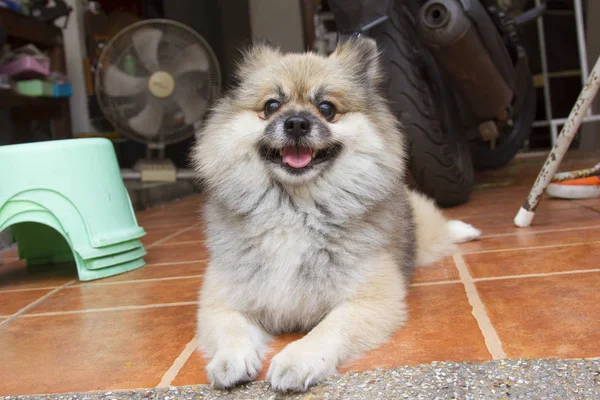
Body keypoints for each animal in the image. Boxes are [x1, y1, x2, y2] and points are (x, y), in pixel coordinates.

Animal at [195, 36, 480, 392]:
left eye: (327, 108)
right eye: (271, 106)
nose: (297, 123)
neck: (295, 209)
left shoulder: (369, 301)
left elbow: (329, 329)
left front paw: (298, 359)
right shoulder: (221, 302)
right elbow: (231, 329)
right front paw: (231, 359)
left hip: (426, 236)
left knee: (439, 229)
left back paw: (465, 230)